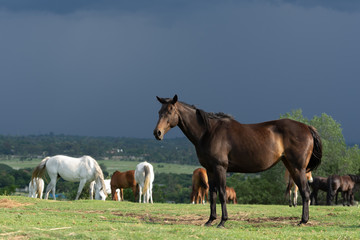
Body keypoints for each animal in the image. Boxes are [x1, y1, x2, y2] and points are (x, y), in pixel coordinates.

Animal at [153, 94, 322, 228]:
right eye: (159, 112)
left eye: (170, 111)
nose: (157, 133)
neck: (208, 132)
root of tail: (307, 127)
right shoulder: (210, 170)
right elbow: (212, 194)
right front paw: (210, 220)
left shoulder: (220, 168)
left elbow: (222, 193)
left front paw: (222, 221)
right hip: (291, 166)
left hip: (298, 168)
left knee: (305, 192)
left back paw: (303, 221)